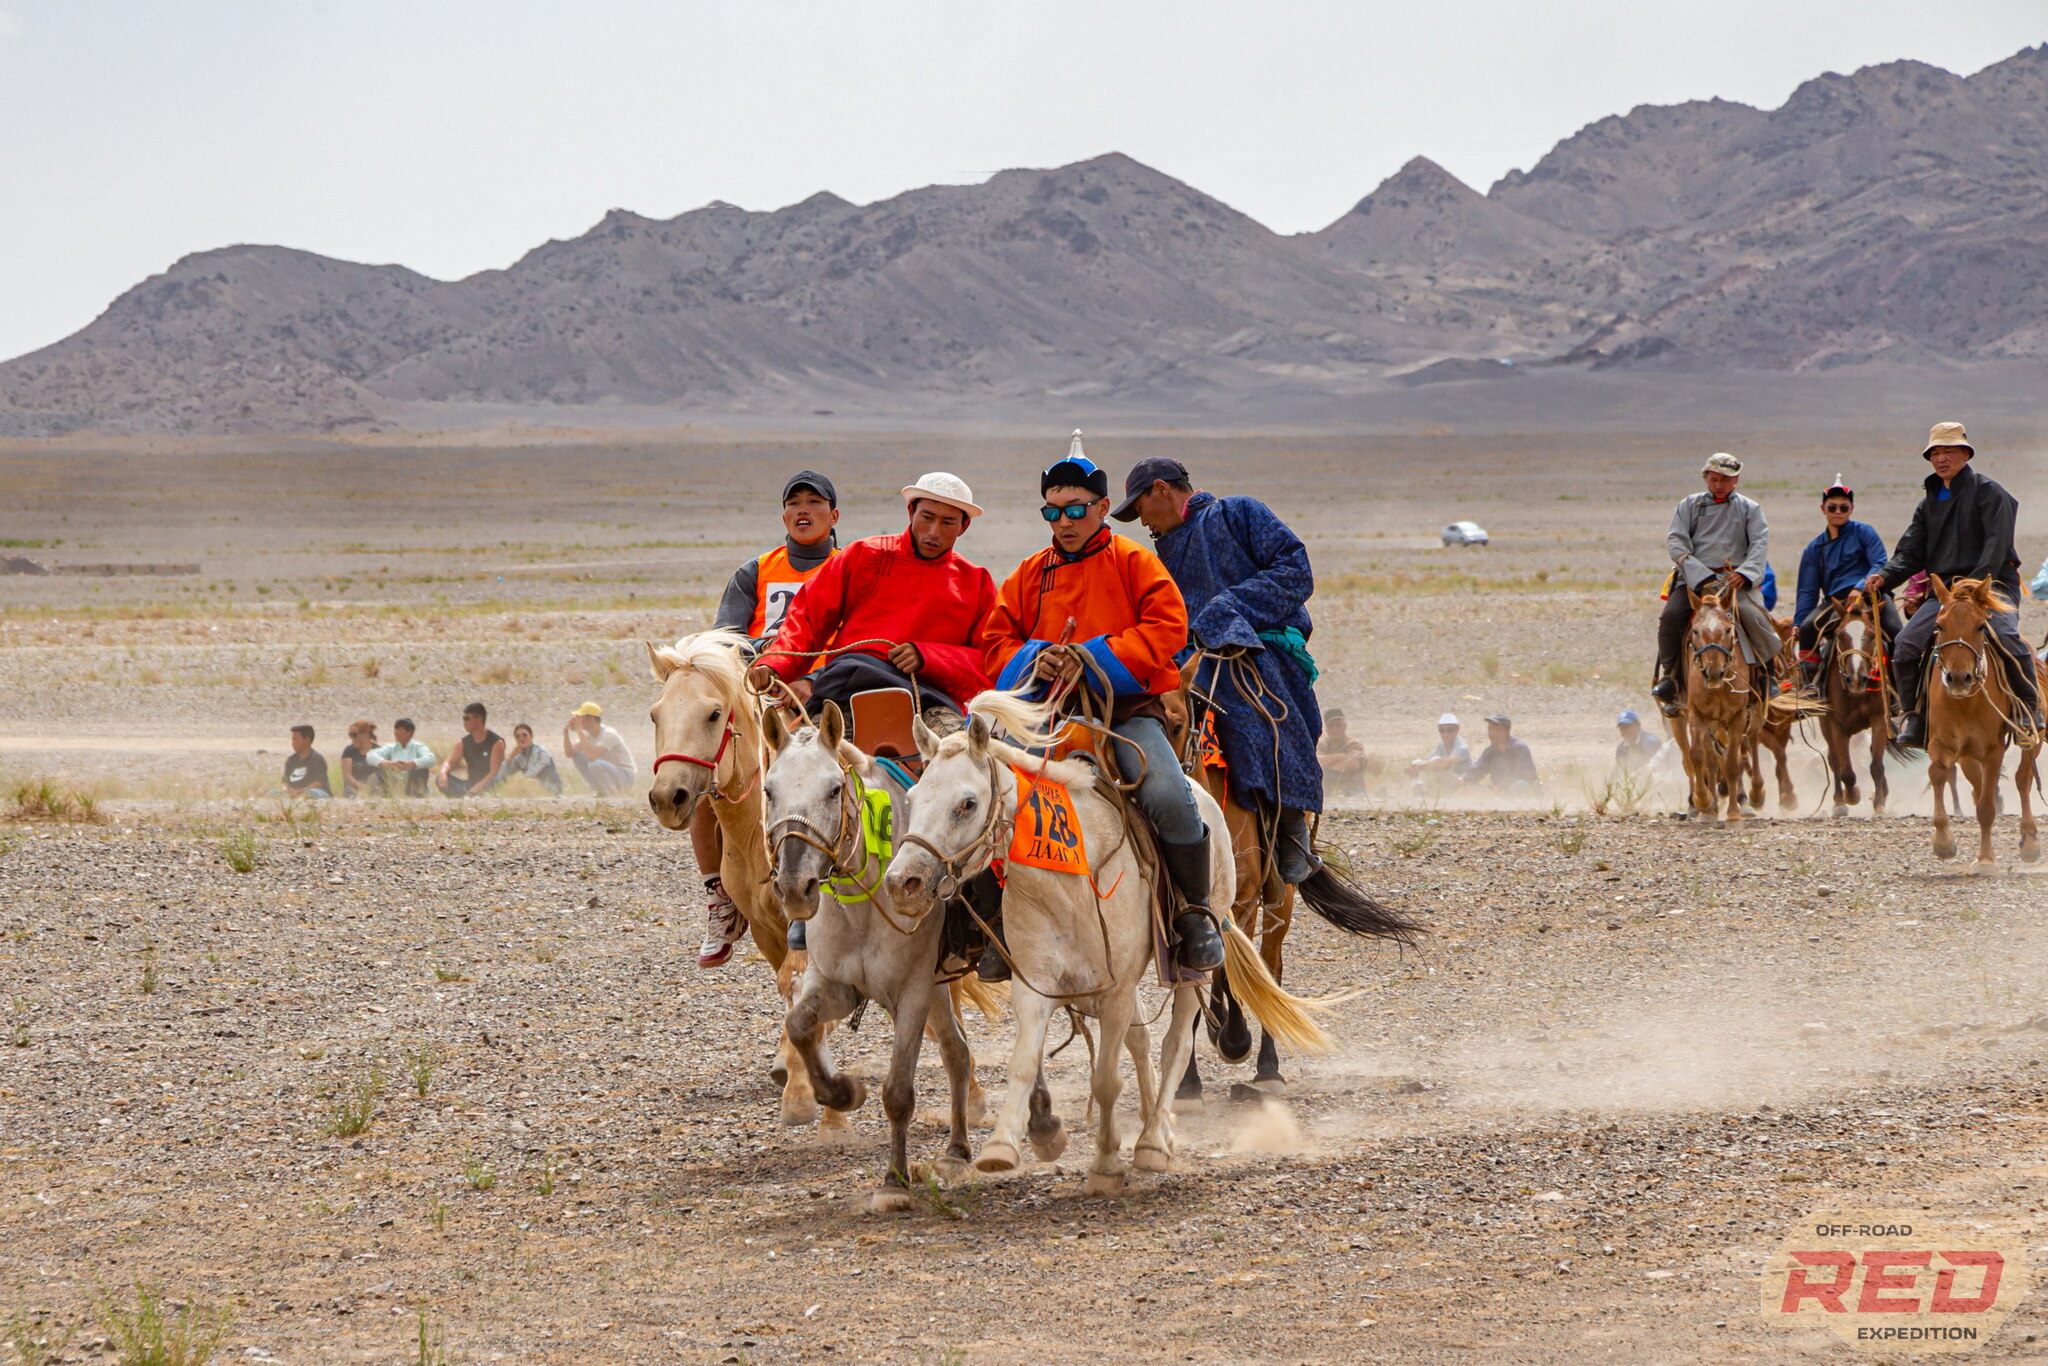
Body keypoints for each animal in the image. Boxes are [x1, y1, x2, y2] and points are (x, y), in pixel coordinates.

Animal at [647, 634, 839, 1130]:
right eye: (656, 714)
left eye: (714, 714)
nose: (668, 797)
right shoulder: (766, 926)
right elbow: (786, 982)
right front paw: (792, 1059)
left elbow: (797, 976)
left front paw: (798, 1083)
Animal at [765, 704, 995, 1220]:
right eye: (769, 790)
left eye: (833, 789)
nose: (794, 887)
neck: (864, 903)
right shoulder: (836, 984)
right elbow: (800, 1026)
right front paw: (842, 1093)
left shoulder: (910, 994)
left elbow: (897, 1092)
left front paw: (894, 1182)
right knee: (957, 1052)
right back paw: (956, 1151)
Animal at [888, 696, 1335, 1196]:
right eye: (912, 798)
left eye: (966, 803)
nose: (903, 882)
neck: (1068, 880)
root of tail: (1202, 797)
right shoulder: (1037, 985)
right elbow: (1024, 1062)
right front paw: (1003, 1147)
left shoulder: (1117, 990)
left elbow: (1105, 1078)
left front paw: (1106, 1162)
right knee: (1142, 1042)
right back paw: (1158, 1130)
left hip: (1194, 964)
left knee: (1175, 1043)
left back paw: (1154, 1141)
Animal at [1818, 593, 1892, 819]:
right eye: (1840, 635)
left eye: (1871, 635)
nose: (1856, 679)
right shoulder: (1838, 726)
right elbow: (1847, 772)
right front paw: (1852, 796)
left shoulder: (1879, 721)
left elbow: (1876, 765)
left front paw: (1880, 805)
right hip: (1825, 725)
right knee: (1834, 761)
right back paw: (1839, 802)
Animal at [1916, 581, 2031, 876]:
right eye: (1939, 625)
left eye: (1981, 626)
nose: (1959, 678)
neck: (1965, 703)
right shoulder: (1941, 745)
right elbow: (1938, 775)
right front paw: (1944, 843)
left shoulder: (1993, 751)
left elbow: (1987, 808)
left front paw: (1987, 861)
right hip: (1968, 756)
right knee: (1978, 788)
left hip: (2031, 740)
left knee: (2023, 779)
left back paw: (2031, 842)